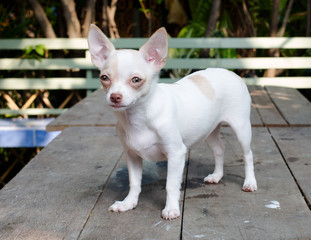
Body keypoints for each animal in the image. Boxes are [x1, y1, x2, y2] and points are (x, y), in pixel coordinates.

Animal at [86, 25, 258, 220]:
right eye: (104, 78)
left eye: (136, 80)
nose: (115, 96)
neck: (138, 118)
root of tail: (230, 72)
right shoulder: (132, 155)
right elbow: (134, 183)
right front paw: (128, 203)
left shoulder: (176, 153)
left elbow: (171, 185)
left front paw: (171, 209)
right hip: (210, 131)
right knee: (219, 149)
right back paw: (217, 176)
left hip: (241, 128)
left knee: (248, 155)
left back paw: (250, 182)